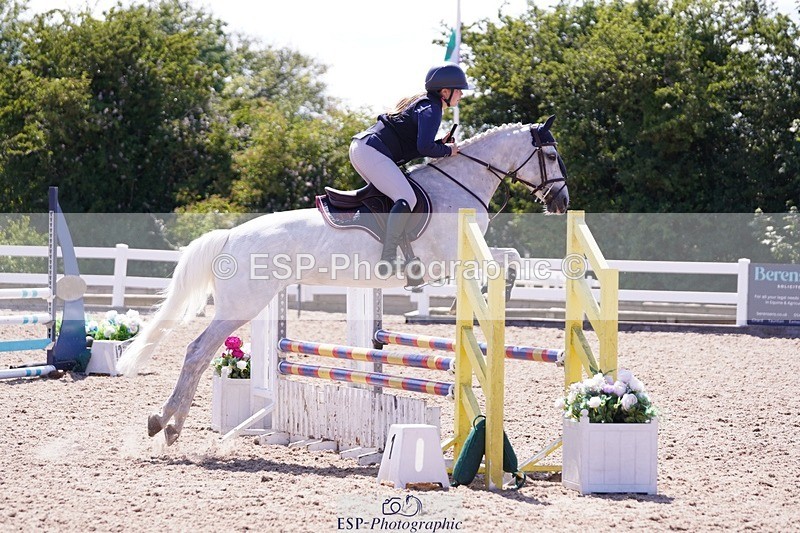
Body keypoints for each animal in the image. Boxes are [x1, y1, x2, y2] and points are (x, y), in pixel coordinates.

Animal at [117, 116, 570, 445]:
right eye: (551, 155)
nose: (562, 202)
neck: (458, 185)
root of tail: (230, 235)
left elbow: (510, 258)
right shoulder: (452, 259)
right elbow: (500, 263)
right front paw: (492, 297)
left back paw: (166, 423)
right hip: (241, 306)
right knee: (196, 351)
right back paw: (167, 424)